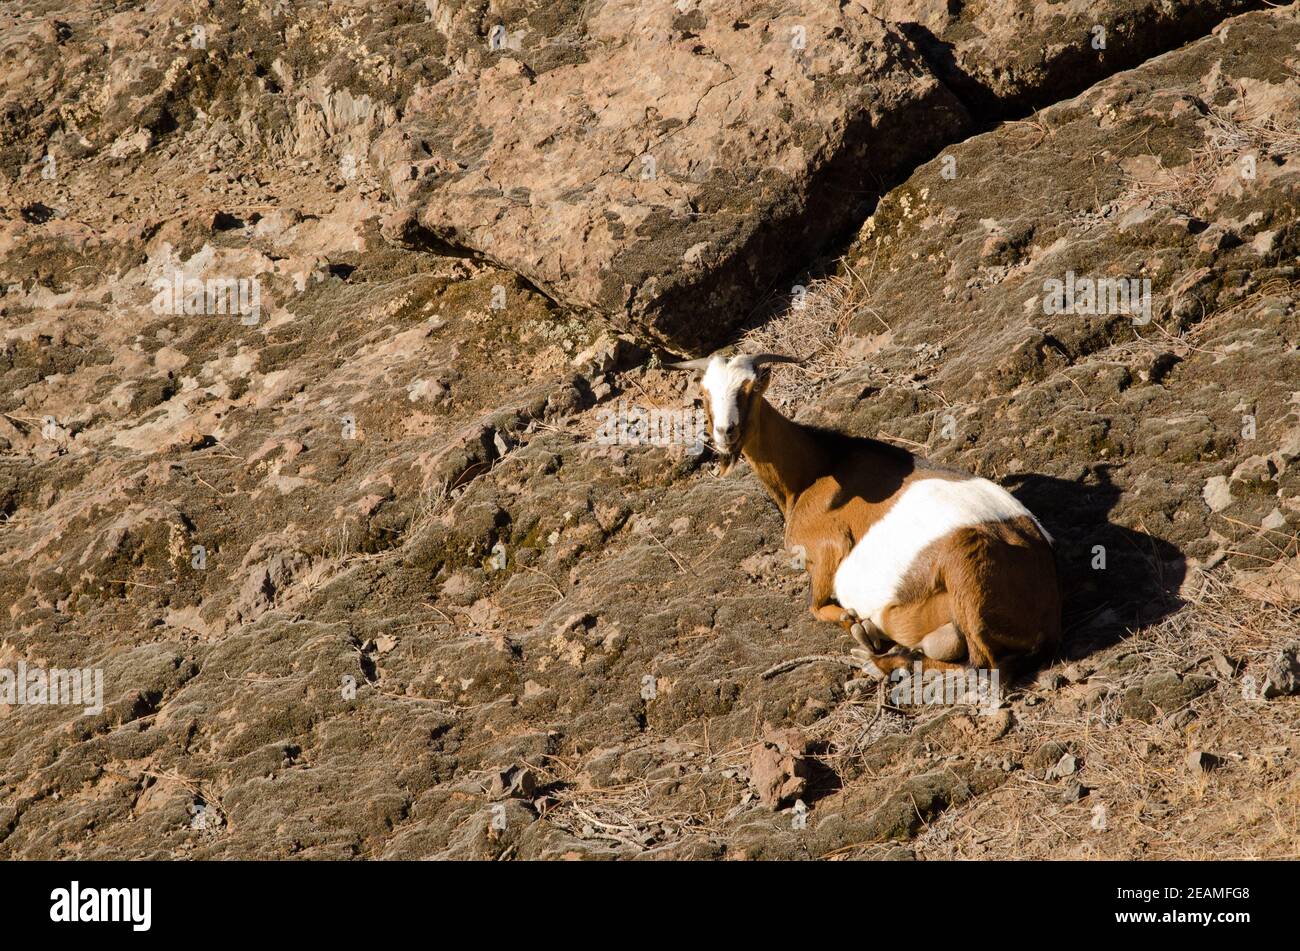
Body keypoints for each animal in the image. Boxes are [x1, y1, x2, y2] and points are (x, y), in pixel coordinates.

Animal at [665, 350, 1060, 675]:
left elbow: (815, 605)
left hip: (965, 566)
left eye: (749, 390)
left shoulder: (829, 545)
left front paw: (852, 623)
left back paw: (874, 657)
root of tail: (1047, 606)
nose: (725, 433)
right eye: (705, 394)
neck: (817, 469)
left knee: (983, 665)